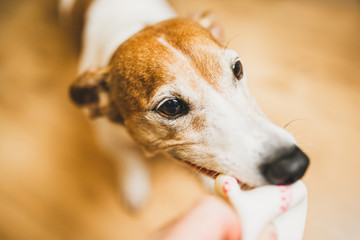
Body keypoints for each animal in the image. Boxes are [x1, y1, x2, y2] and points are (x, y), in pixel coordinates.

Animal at [63, 0, 308, 210]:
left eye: (237, 68)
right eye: (171, 106)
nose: (294, 164)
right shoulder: (109, 141)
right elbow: (127, 158)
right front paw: (135, 184)